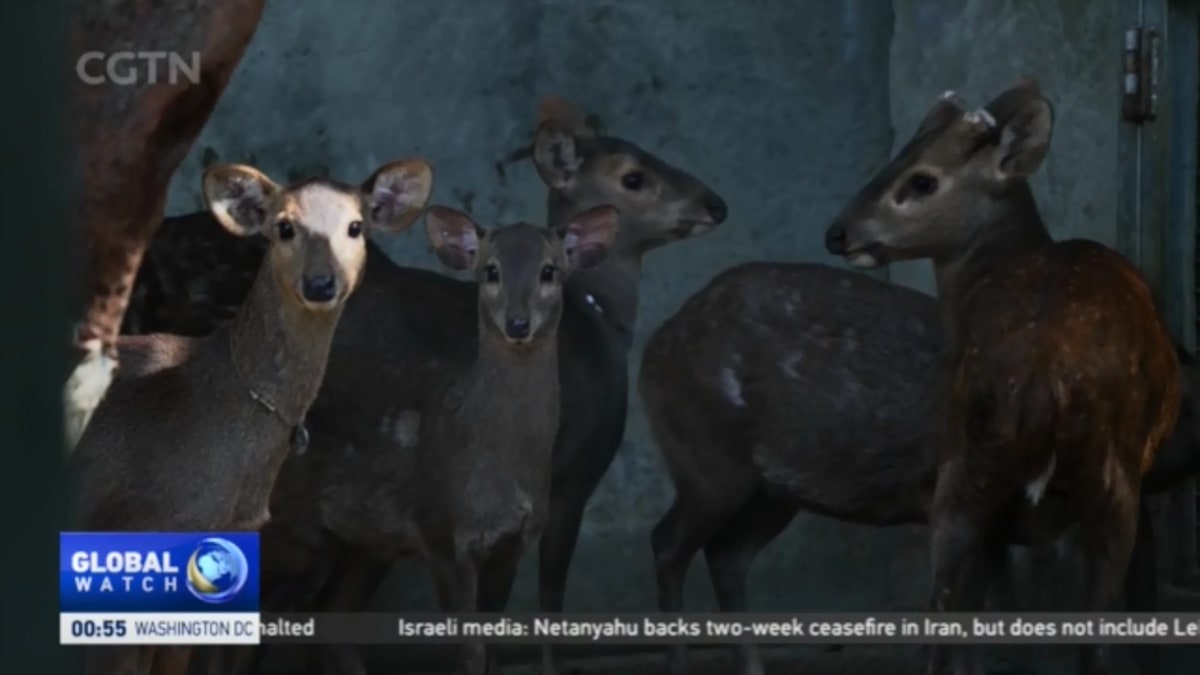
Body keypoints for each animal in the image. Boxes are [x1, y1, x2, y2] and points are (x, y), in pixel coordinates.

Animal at [642, 257, 1200, 675]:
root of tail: (653, 350)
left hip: (773, 491)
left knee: (727, 554)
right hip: (709, 463)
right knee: (668, 541)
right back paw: (677, 662)